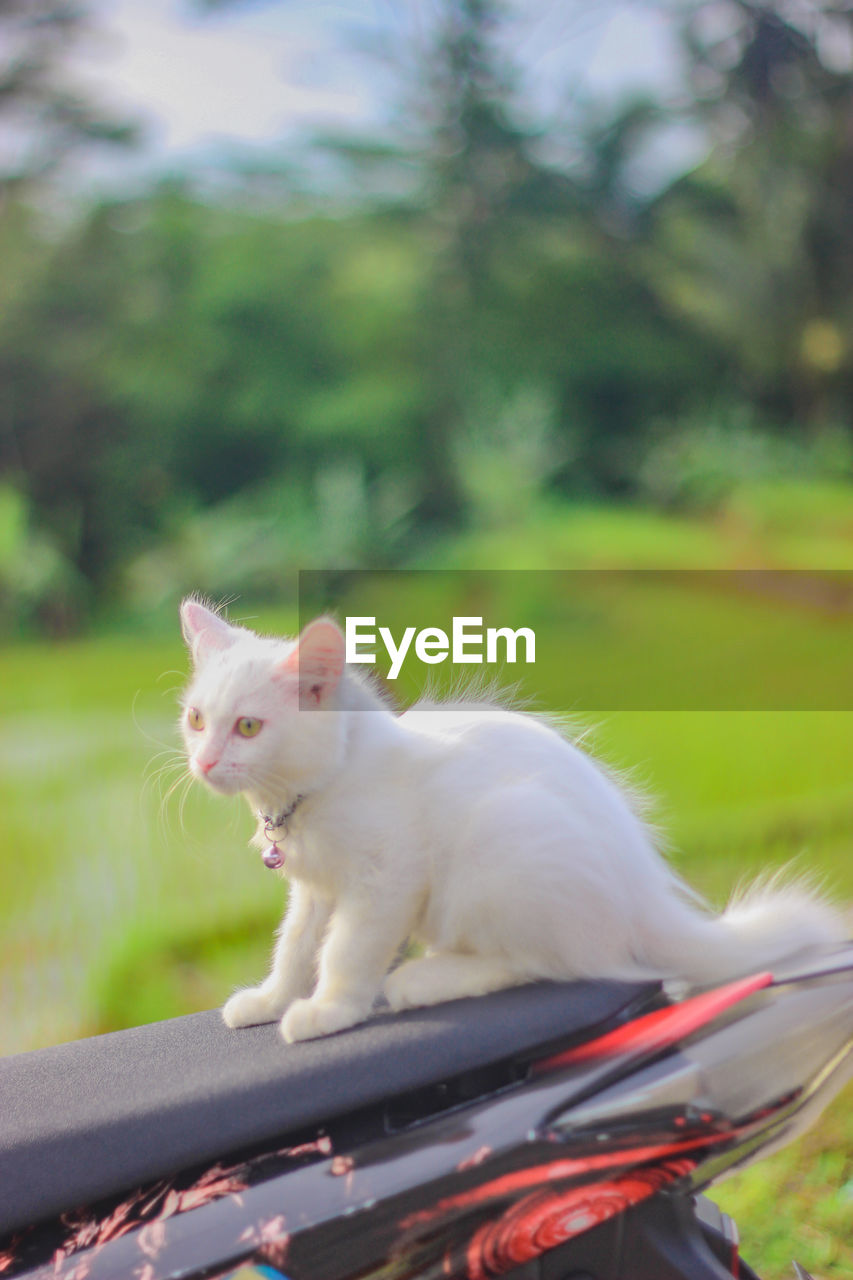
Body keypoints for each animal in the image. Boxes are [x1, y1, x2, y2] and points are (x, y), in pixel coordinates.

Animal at [179, 599, 845, 1039]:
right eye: (196, 719)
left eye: (248, 727)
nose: (204, 761)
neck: (317, 790)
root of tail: (646, 895)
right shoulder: (315, 890)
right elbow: (293, 947)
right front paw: (271, 999)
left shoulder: (384, 881)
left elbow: (346, 952)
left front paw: (330, 1010)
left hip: (499, 849)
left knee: (547, 965)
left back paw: (424, 980)